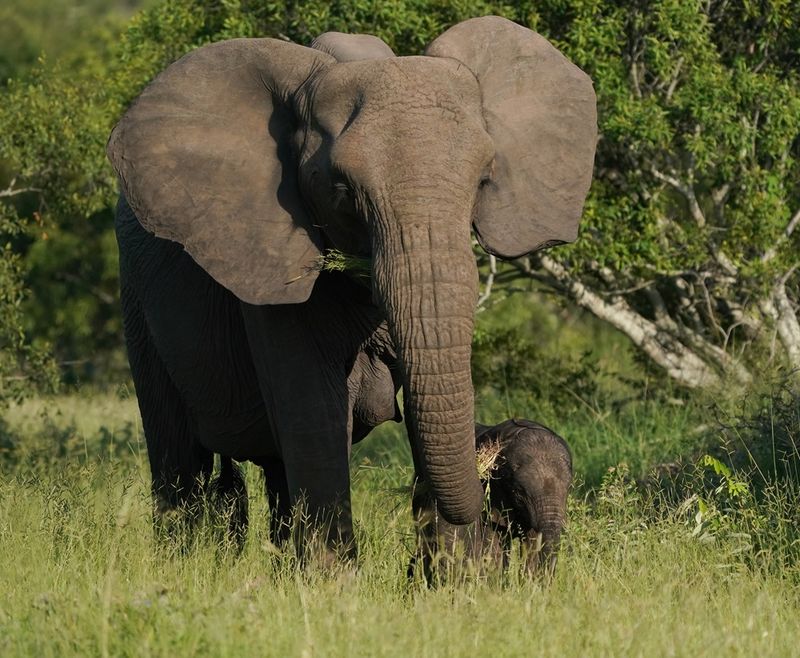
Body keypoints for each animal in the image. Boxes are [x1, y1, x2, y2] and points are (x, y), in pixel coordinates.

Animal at [106, 16, 596, 562]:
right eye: (342, 189)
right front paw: (333, 579)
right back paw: (184, 562)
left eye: (484, 179)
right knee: (178, 457)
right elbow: (315, 412)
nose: (493, 465)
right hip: (137, 296)